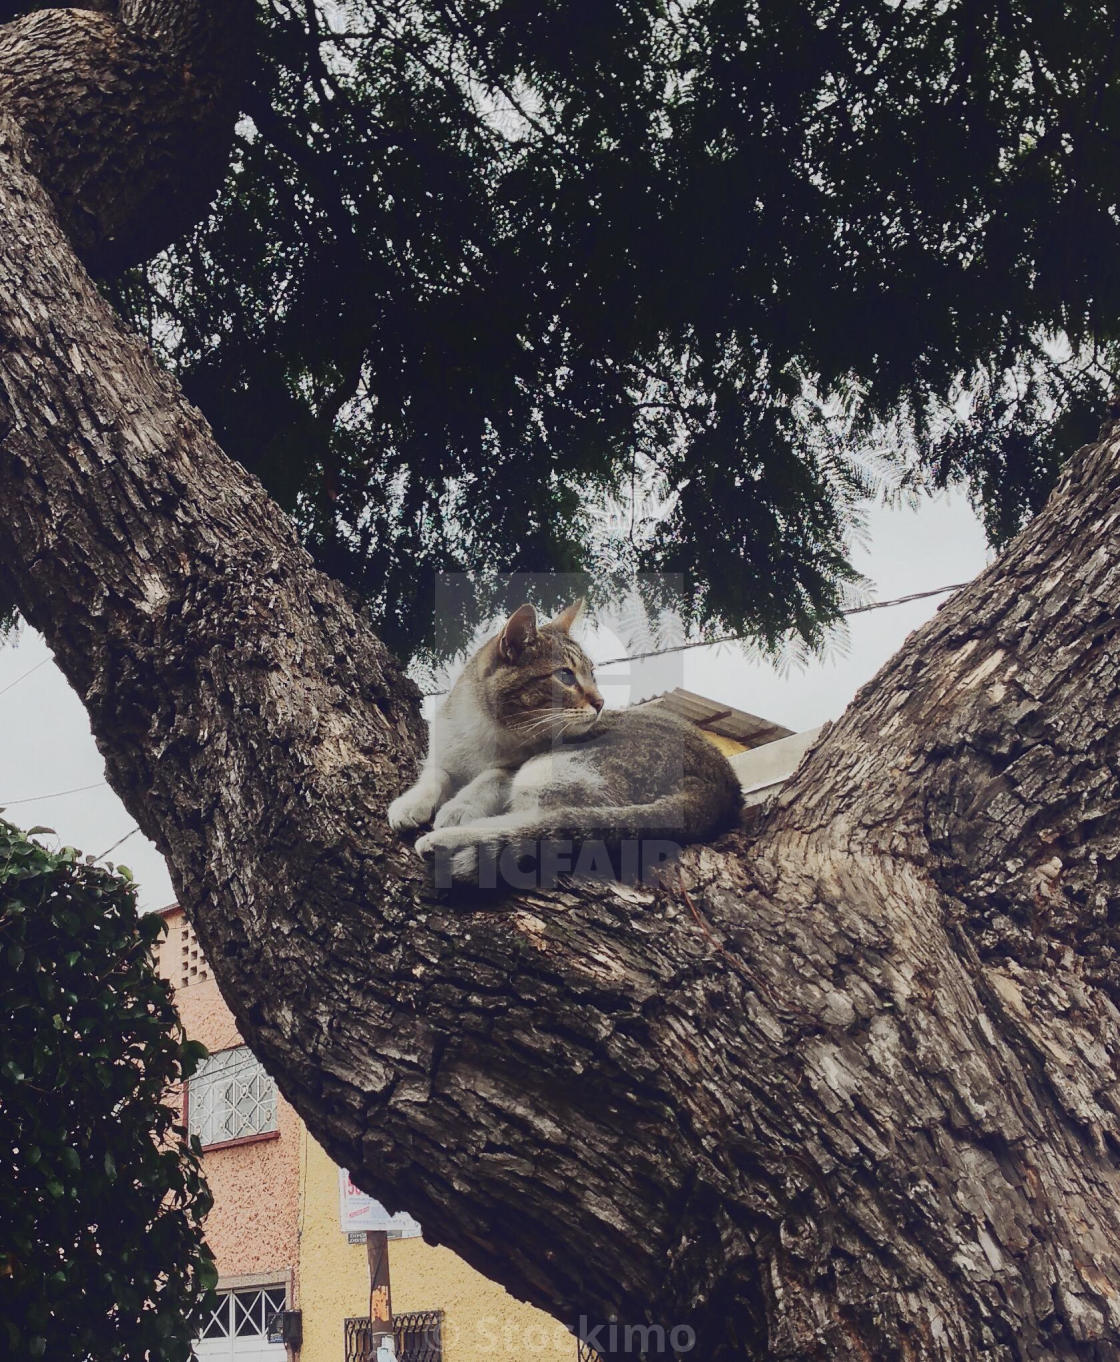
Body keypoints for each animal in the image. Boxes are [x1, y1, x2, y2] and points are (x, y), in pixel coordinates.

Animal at [386, 604, 746, 882]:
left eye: (593, 675)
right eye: (565, 676)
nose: (600, 702)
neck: (485, 731)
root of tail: (724, 786)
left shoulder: (515, 766)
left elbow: (489, 779)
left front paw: (458, 807)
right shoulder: (443, 748)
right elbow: (434, 775)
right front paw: (410, 803)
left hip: (549, 770)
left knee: (546, 821)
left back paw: (446, 841)